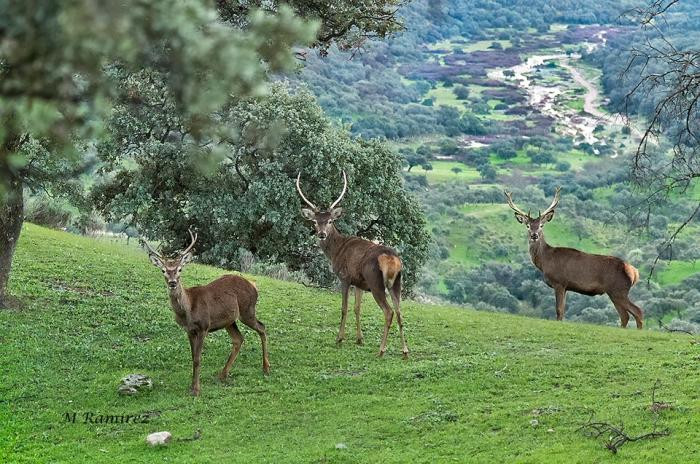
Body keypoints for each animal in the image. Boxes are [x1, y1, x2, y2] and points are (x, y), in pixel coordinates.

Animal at [142, 229, 270, 396]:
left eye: (180, 269)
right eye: (163, 270)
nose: (172, 282)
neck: (188, 311)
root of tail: (253, 285)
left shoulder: (204, 326)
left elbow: (198, 359)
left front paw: (196, 389)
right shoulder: (189, 330)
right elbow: (192, 357)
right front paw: (192, 387)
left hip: (247, 310)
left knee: (262, 327)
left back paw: (266, 368)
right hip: (230, 320)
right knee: (239, 339)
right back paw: (223, 374)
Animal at [296, 171, 410, 358]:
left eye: (330, 221)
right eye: (315, 221)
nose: (321, 234)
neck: (336, 251)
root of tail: (391, 258)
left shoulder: (345, 277)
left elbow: (344, 308)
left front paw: (339, 338)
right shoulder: (360, 283)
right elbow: (357, 308)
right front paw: (359, 339)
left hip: (375, 281)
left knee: (389, 311)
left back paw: (381, 349)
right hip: (397, 282)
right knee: (400, 311)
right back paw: (405, 350)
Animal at [504, 187, 644, 328]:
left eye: (541, 225)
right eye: (527, 225)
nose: (534, 235)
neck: (545, 261)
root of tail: (634, 272)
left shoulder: (559, 282)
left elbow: (559, 310)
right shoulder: (566, 287)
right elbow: (562, 310)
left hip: (618, 290)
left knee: (637, 311)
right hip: (615, 292)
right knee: (625, 316)